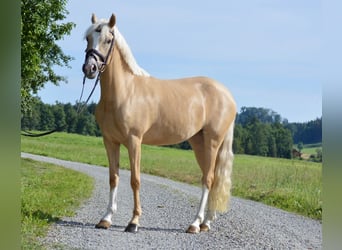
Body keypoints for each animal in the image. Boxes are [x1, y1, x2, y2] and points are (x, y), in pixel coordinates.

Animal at [82, 12, 236, 233]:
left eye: (108, 40)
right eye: (87, 38)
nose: (90, 68)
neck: (125, 91)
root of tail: (227, 95)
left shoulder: (134, 141)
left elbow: (135, 180)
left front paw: (133, 222)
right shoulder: (110, 141)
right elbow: (113, 177)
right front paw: (106, 218)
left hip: (213, 142)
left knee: (208, 180)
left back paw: (195, 224)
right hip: (199, 144)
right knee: (212, 178)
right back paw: (206, 222)